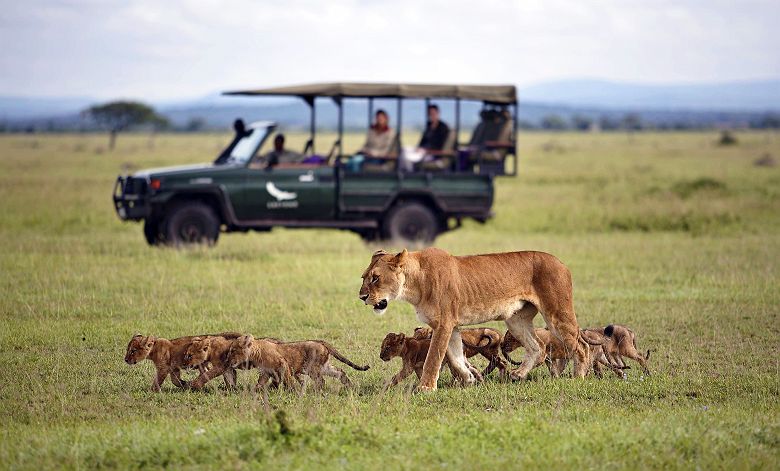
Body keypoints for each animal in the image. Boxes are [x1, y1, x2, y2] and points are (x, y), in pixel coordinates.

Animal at [228, 334, 369, 391]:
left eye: (233, 350)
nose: (228, 360)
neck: (255, 352)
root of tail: (321, 342)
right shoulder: (266, 372)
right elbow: (261, 383)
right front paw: (258, 391)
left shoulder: (283, 364)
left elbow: (288, 381)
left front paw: (292, 392)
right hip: (324, 367)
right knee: (340, 372)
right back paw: (349, 386)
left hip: (312, 368)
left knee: (321, 381)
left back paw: (316, 392)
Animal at [359, 248, 590, 391]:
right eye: (364, 277)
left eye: (376, 278)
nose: (361, 297)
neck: (414, 283)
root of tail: (561, 263)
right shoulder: (451, 326)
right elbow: (455, 357)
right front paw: (469, 379)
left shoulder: (444, 323)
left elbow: (434, 358)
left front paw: (425, 388)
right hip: (516, 320)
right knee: (538, 347)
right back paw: (518, 375)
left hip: (557, 313)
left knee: (581, 345)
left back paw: (578, 377)